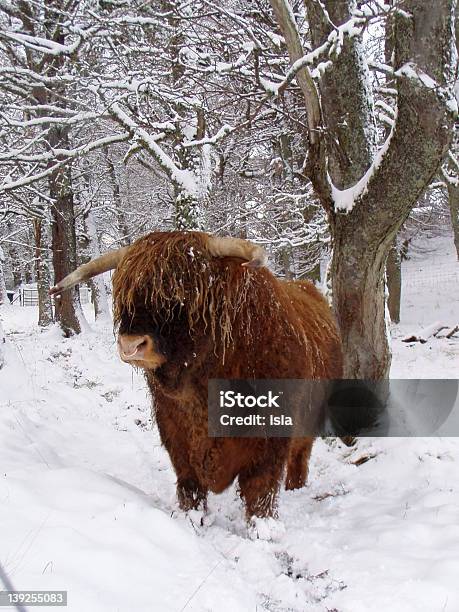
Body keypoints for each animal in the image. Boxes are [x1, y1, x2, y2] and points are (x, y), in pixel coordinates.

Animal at [52, 232, 344, 520]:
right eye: (125, 292)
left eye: (181, 291)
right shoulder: (174, 429)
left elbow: (259, 492)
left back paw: (296, 488)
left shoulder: (269, 439)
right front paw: (193, 519)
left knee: (300, 455)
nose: (131, 344)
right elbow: (189, 483)